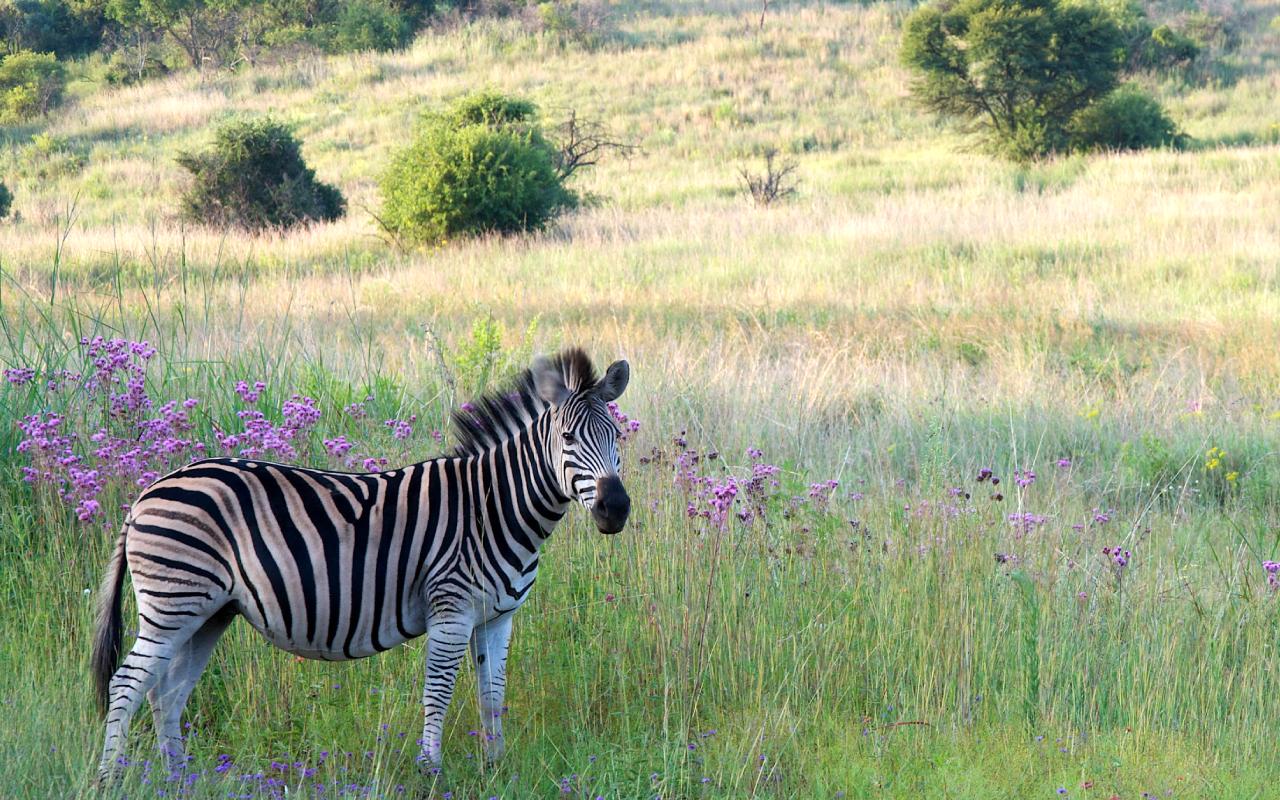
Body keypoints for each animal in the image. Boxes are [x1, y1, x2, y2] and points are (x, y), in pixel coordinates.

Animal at [91, 348, 631, 782]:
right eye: (567, 438)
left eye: (617, 437)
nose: (616, 509)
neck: (493, 508)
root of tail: (147, 492)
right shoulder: (451, 610)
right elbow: (438, 692)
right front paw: (431, 771)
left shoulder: (498, 617)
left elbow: (492, 696)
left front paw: (494, 769)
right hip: (173, 603)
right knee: (127, 684)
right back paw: (110, 779)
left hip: (208, 613)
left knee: (167, 693)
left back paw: (178, 779)